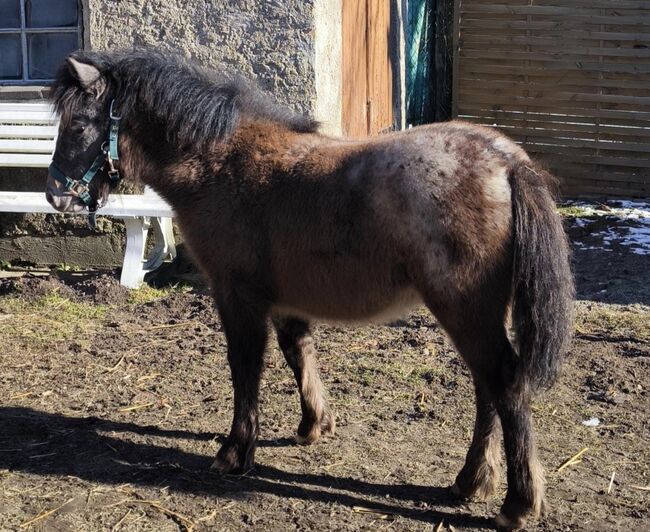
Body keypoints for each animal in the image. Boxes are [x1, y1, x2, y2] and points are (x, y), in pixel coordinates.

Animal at [45, 48, 572, 528]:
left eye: (79, 126)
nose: (56, 196)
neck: (219, 162)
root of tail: (507, 162)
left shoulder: (237, 296)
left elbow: (245, 368)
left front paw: (235, 451)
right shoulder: (283, 300)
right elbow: (298, 352)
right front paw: (312, 425)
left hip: (465, 310)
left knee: (504, 384)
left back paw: (517, 503)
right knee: (487, 388)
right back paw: (470, 482)